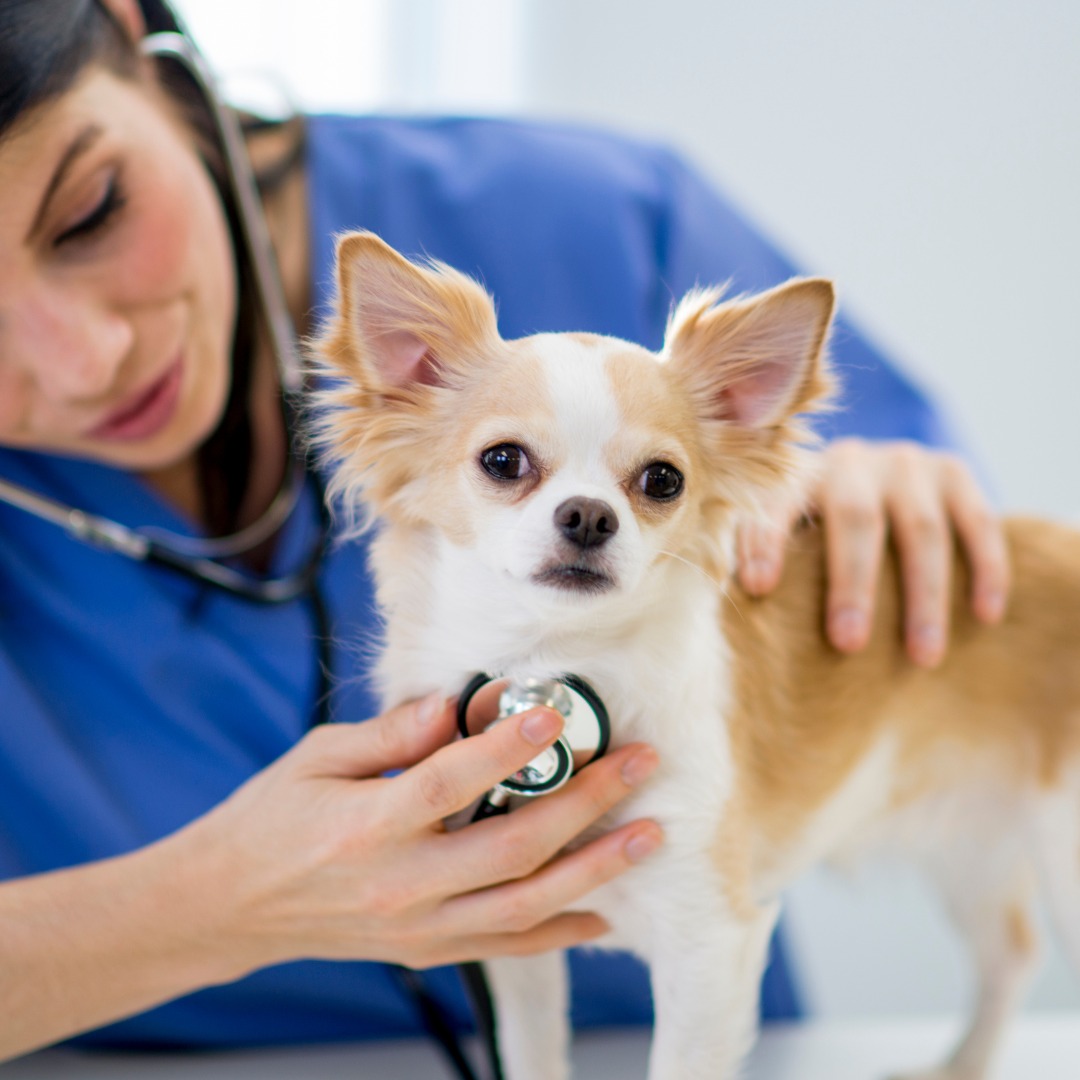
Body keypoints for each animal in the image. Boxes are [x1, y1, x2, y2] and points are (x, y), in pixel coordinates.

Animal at [311, 234, 1080, 1080]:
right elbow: (533, 1054)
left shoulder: (710, 940)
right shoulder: (515, 940)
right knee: (1012, 949)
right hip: (968, 838)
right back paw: (960, 1064)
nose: (589, 516)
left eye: (662, 480)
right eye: (503, 461)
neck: (553, 660)